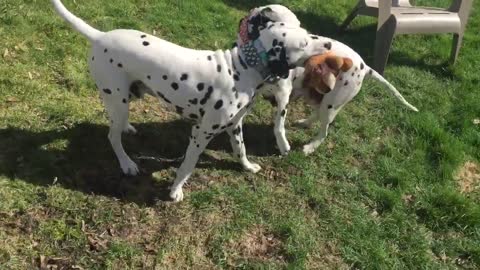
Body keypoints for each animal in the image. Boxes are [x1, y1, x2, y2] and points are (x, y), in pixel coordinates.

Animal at [242, 5, 418, 155]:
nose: (326, 45)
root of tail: (364, 66)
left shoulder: (283, 97)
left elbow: (278, 126)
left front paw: (283, 145)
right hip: (318, 97)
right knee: (317, 115)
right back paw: (305, 123)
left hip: (331, 105)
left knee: (324, 131)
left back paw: (310, 147)